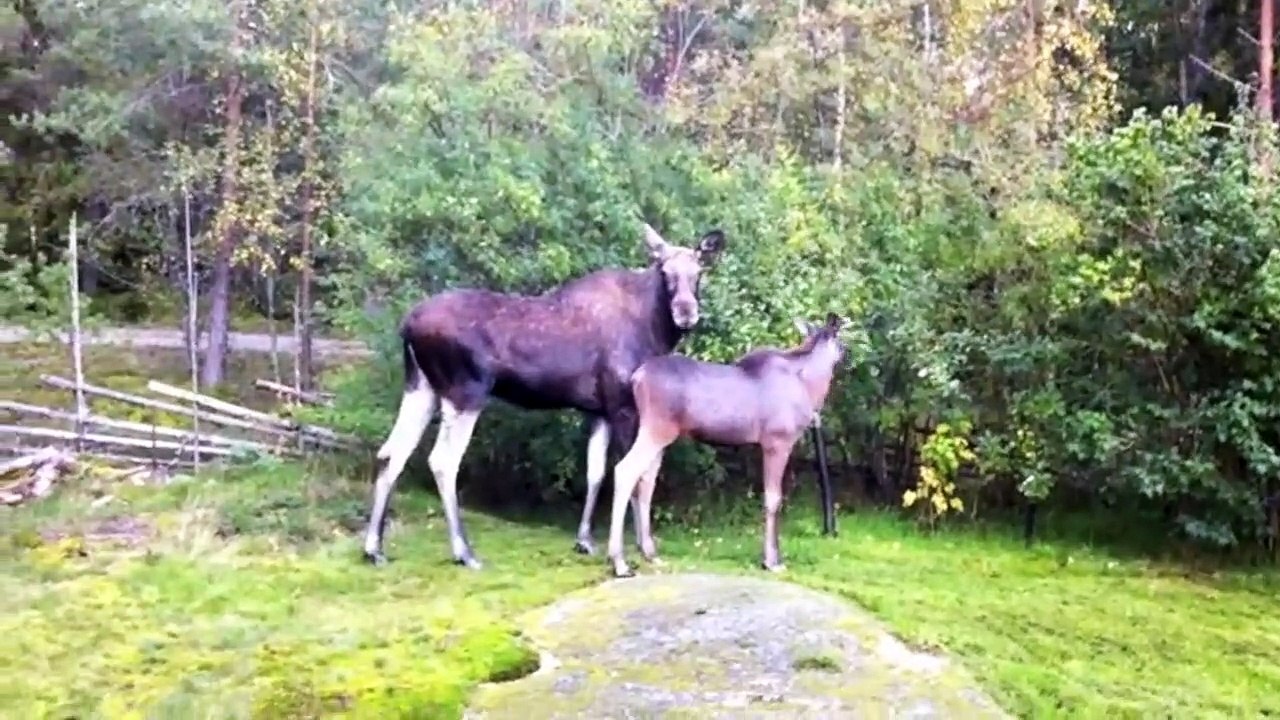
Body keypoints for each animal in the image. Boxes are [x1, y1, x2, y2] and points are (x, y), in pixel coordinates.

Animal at [362, 222, 727, 569]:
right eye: (665, 272)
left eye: (699, 272)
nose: (686, 312)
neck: (654, 329)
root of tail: (407, 326)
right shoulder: (624, 405)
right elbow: (633, 476)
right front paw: (640, 549)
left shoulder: (599, 410)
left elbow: (595, 472)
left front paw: (585, 541)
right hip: (466, 391)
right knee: (442, 461)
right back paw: (464, 552)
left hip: (421, 387)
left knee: (391, 452)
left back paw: (374, 549)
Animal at [604, 312, 848, 578]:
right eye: (841, 338)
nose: (845, 353)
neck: (810, 386)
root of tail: (636, 378)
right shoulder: (777, 441)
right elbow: (773, 499)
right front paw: (772, 561)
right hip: (657, 429)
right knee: (625, 470)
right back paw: (619, 562)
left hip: (658, 434)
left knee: (646, 480)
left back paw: (649, 552)